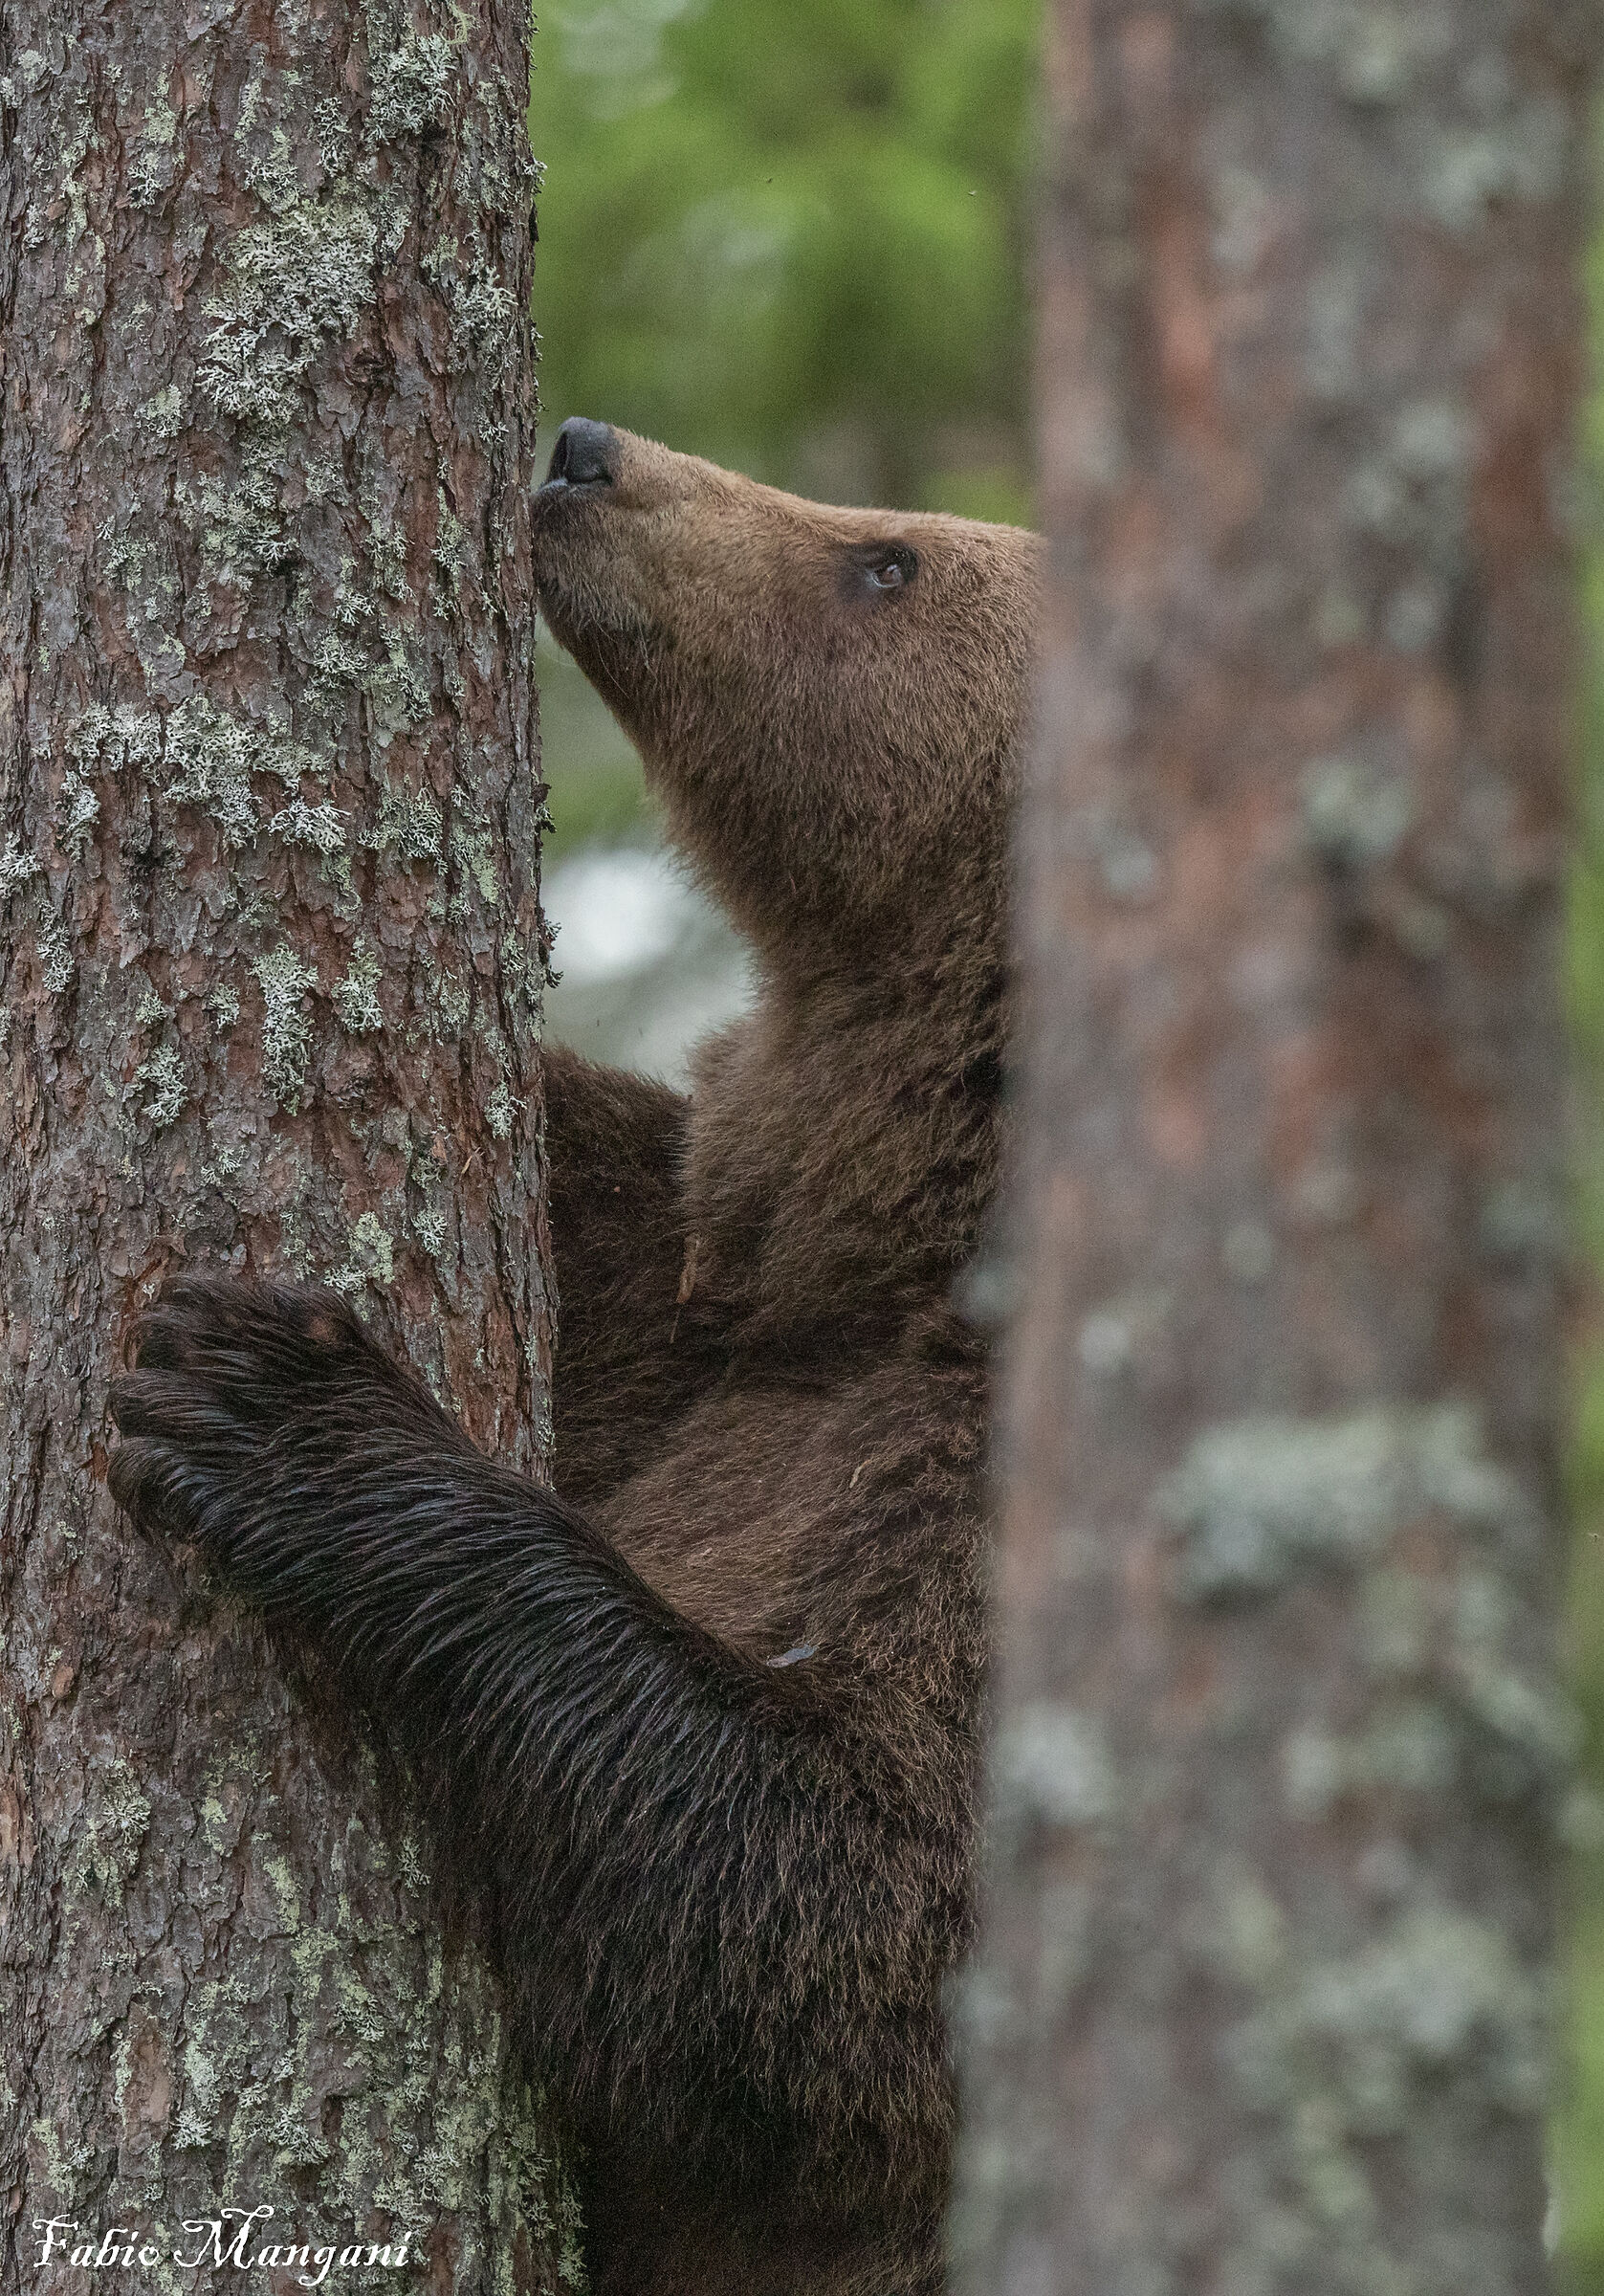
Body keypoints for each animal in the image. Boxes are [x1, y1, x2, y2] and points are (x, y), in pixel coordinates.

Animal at [109, 418, 1042, 2296]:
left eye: (886, 560)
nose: (588, 452)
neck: (908, 1248)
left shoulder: (967, 1494)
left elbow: (848, 1918)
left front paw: (266, 1400)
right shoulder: (685, 1309)